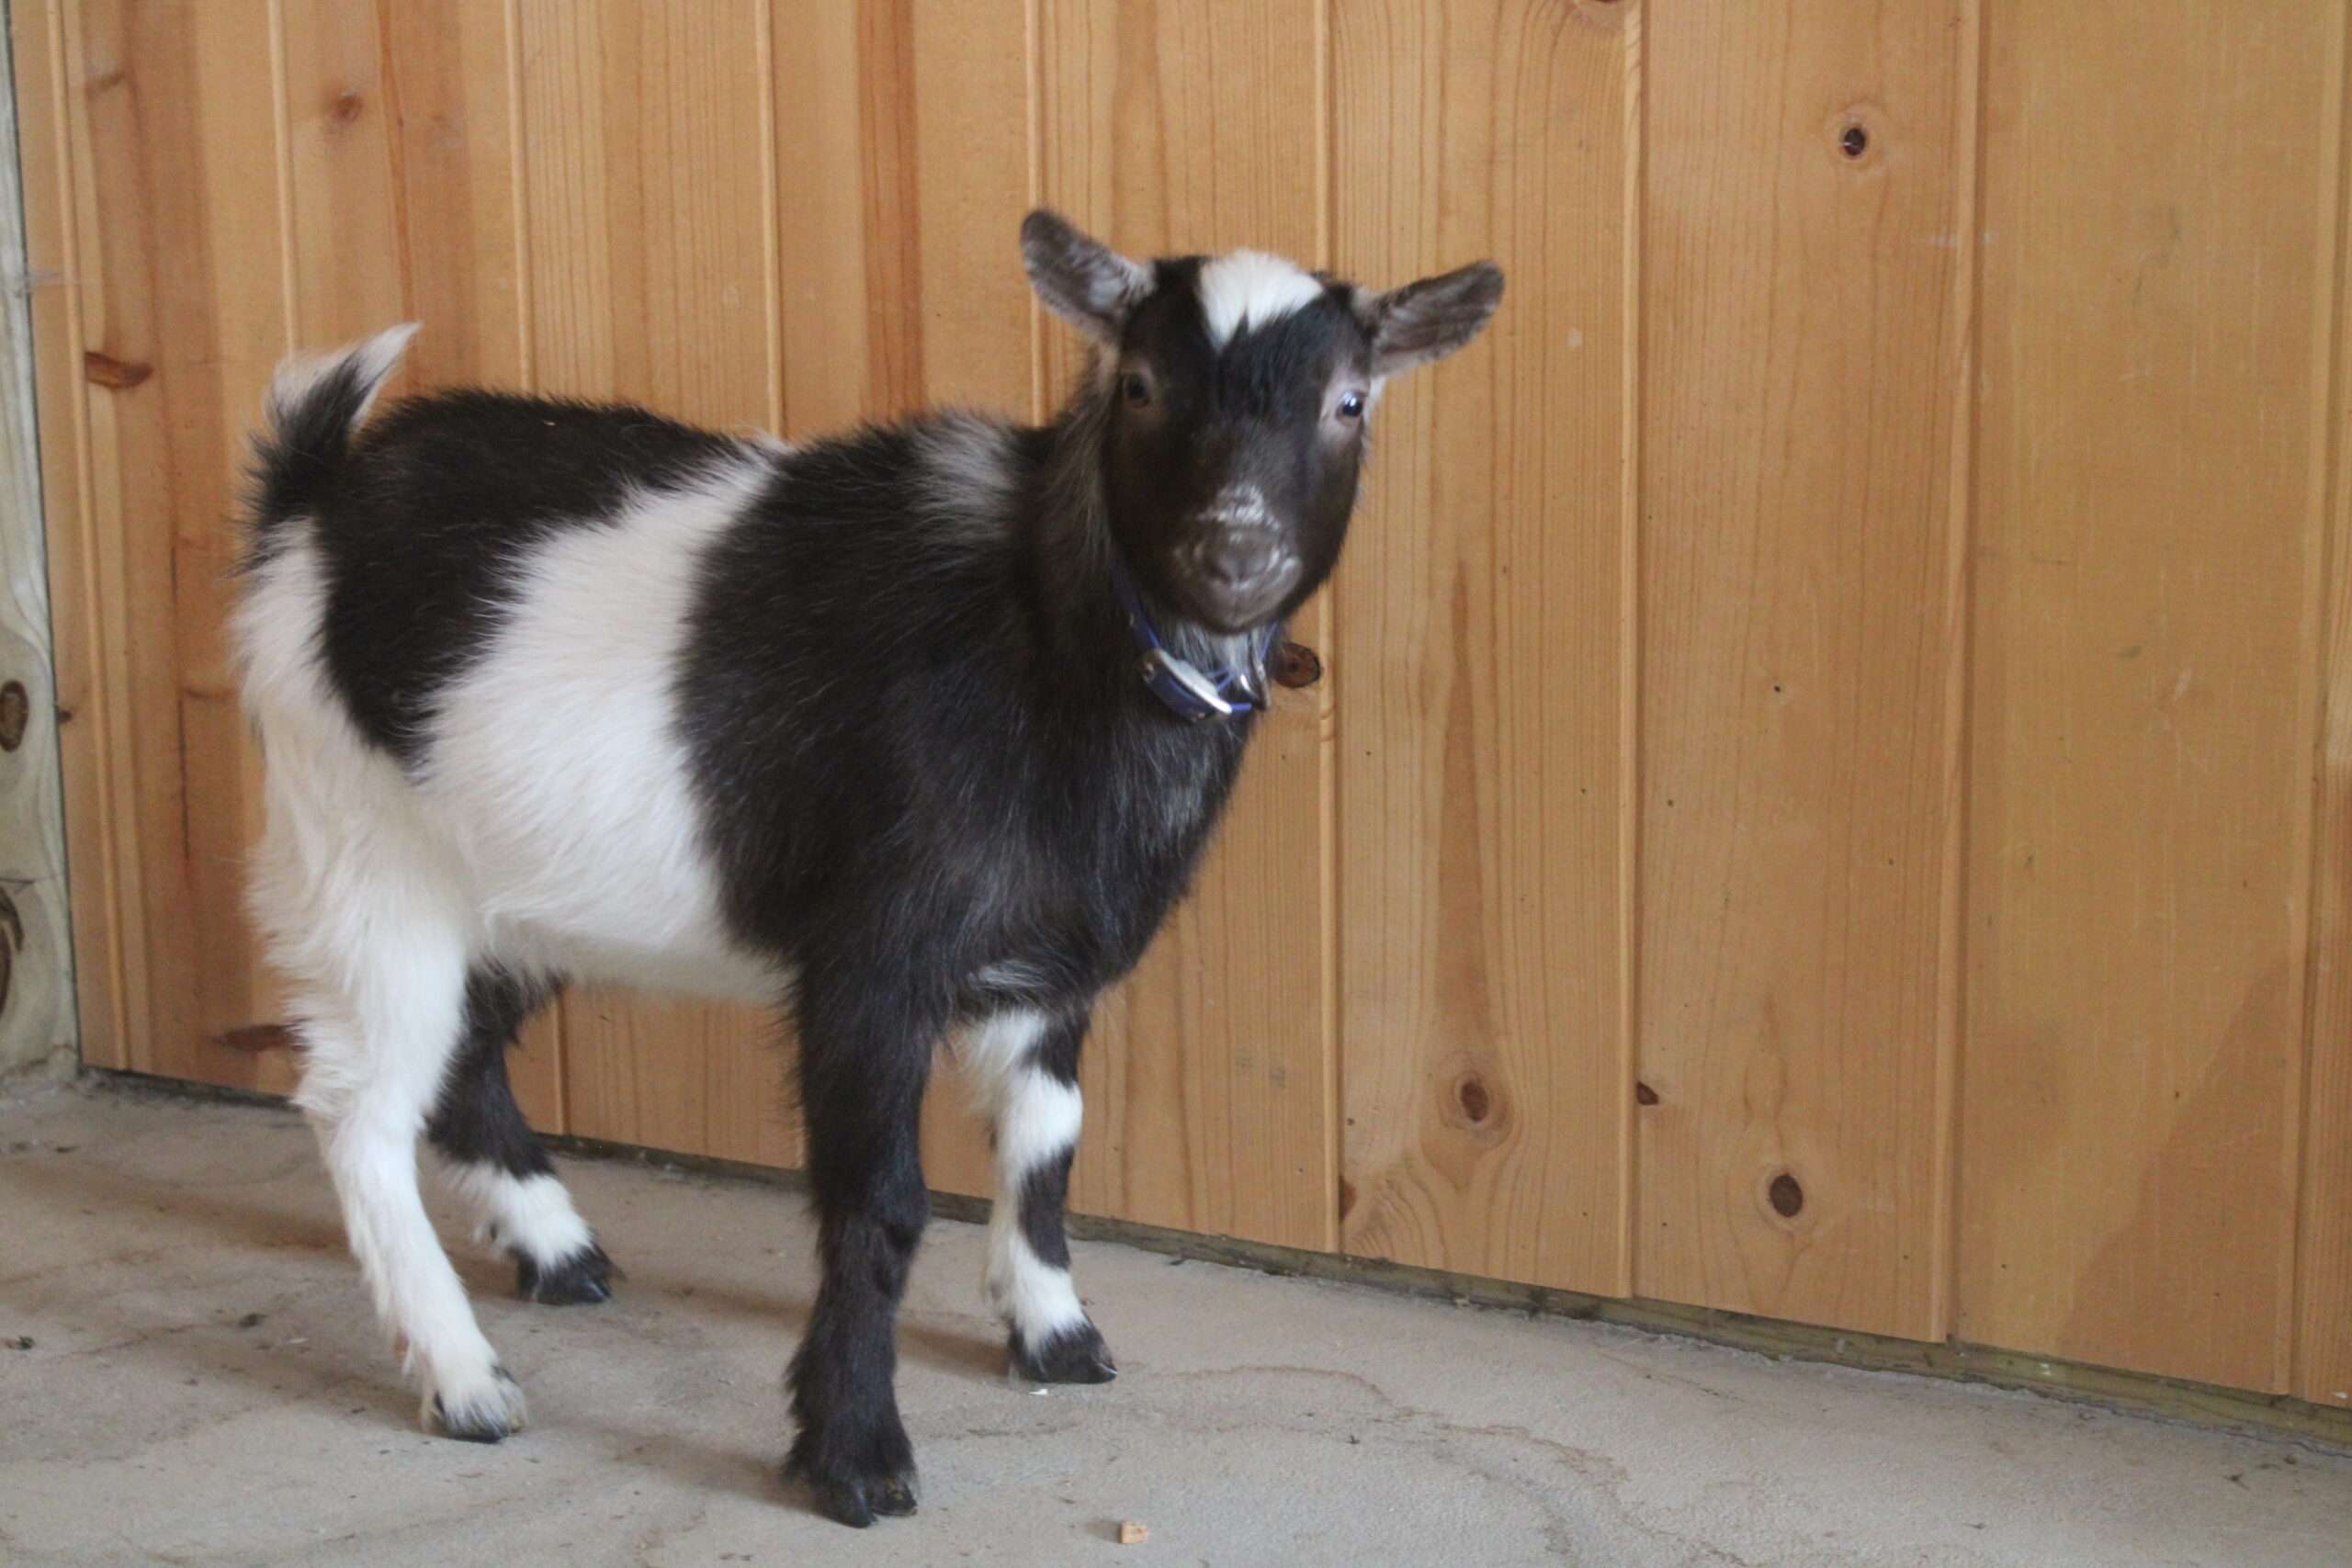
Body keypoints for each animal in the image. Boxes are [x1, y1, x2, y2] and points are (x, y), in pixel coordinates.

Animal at [233, 209, 1501, 1526]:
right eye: (1141, 383)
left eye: (1348, 399)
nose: (1234, 552)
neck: (1041, 628)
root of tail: (309, 506)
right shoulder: (872, 962)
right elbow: (878, 1201)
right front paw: (854, 1452)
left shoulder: (1049, 968)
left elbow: (1047, 1146)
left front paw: (1054, 1332)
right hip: (362, 856)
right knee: (360, 1107)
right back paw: (465, 1378)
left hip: (513, 885)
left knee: (465, 1056)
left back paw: (558, 1253)